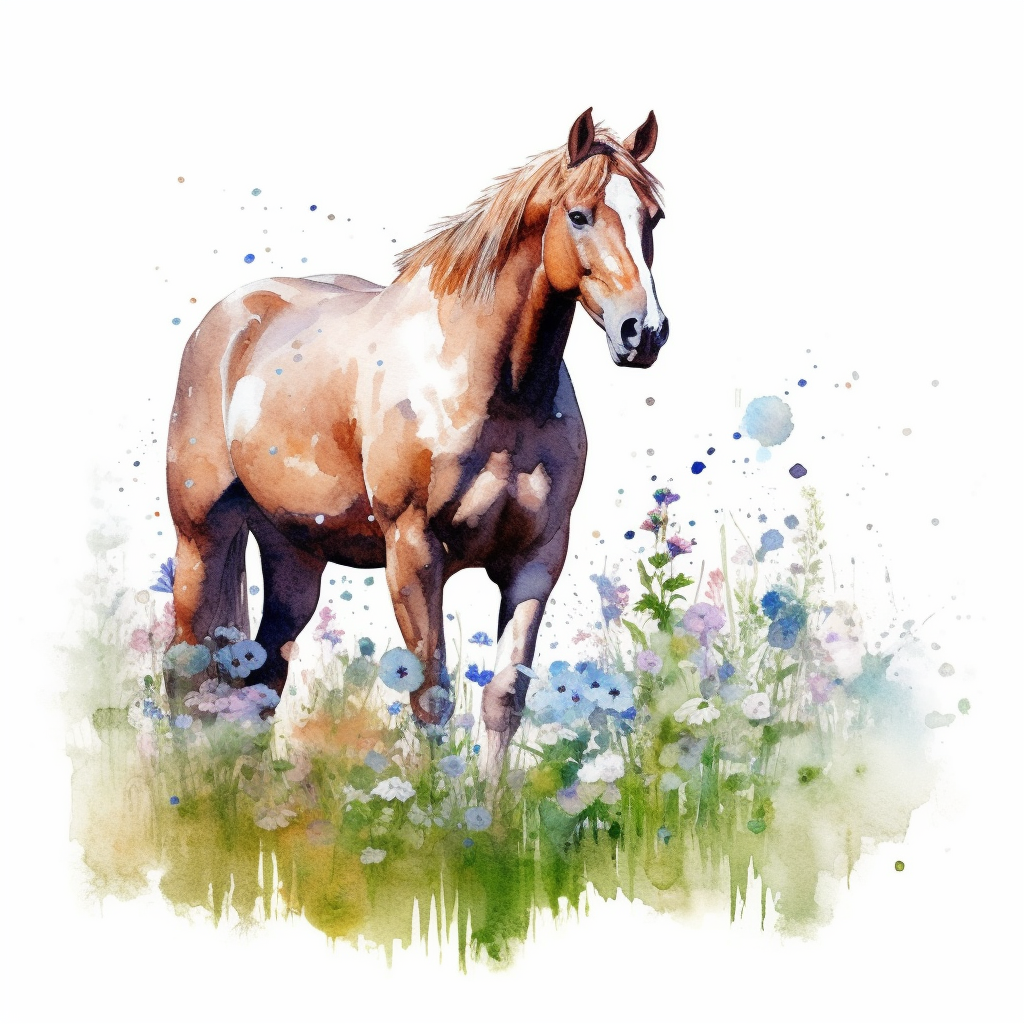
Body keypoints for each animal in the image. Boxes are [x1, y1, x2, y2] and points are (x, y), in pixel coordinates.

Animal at [165, 107, 669, 770]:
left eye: (653, 218)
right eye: (579, 215)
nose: (644, 333)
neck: (499, 393)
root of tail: (228, 319)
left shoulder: (536, 560)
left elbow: (503, 699)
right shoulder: (412, 551)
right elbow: (431, 695)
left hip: (294, 556)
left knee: (263, 679)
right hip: (200, 538)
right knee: (185, 670)